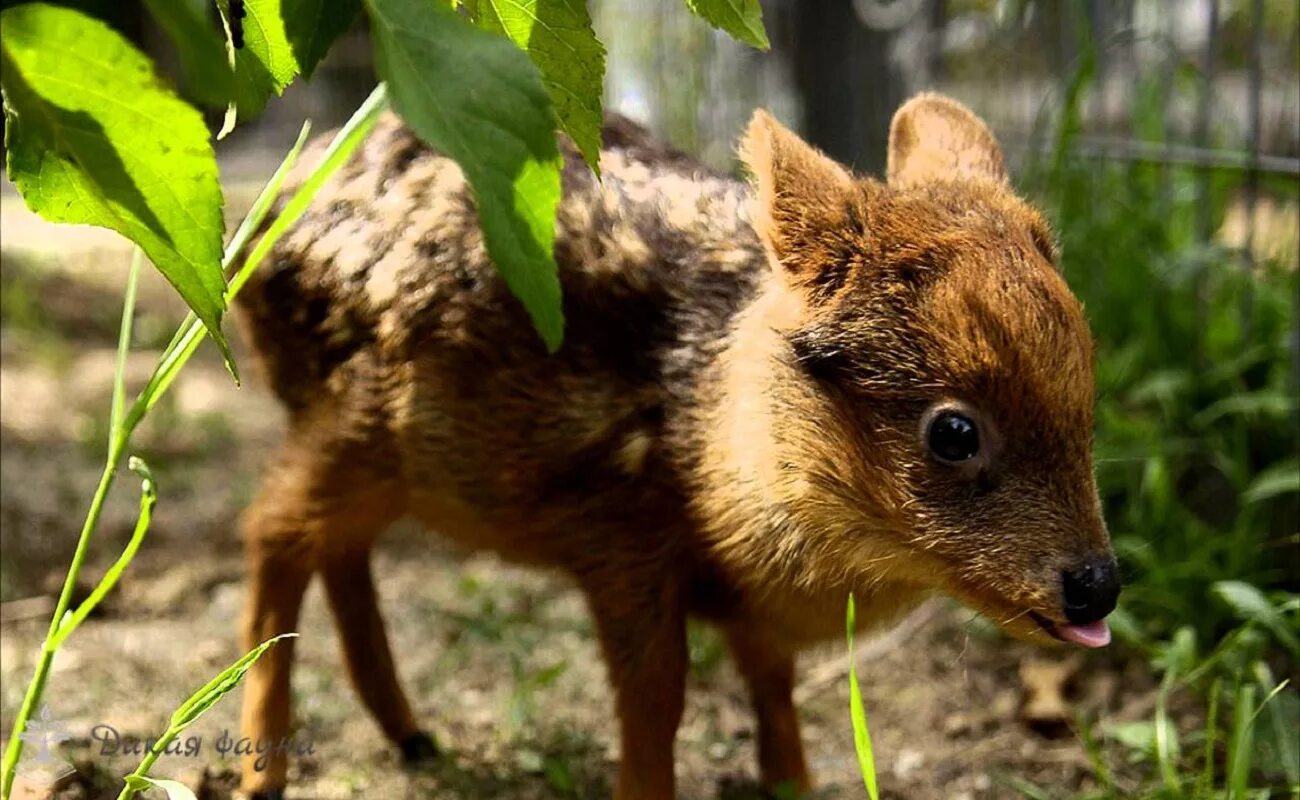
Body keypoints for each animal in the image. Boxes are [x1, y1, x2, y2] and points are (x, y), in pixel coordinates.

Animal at [231, 95, 1118, 800]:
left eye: (1087, 391)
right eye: (954, 431)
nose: (1098, 587)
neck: (708, 435)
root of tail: (260, 230)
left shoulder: (750, 605)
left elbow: (773, 686)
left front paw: (794, 786)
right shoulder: (621, 539)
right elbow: (657, 701)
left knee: (337, 551)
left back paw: (412, 737)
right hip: (353, 419)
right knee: (273, 531)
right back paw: (262, 774)